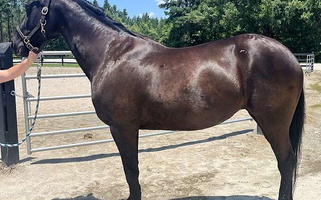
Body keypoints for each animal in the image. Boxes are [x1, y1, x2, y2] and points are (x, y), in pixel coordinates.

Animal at [11, 0, 304, 199]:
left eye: (28, 7)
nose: (15, 43)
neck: (112, 54)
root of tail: (290, 56)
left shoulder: (122, 128)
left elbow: (131, 171)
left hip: (274, 122)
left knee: (286, 161)